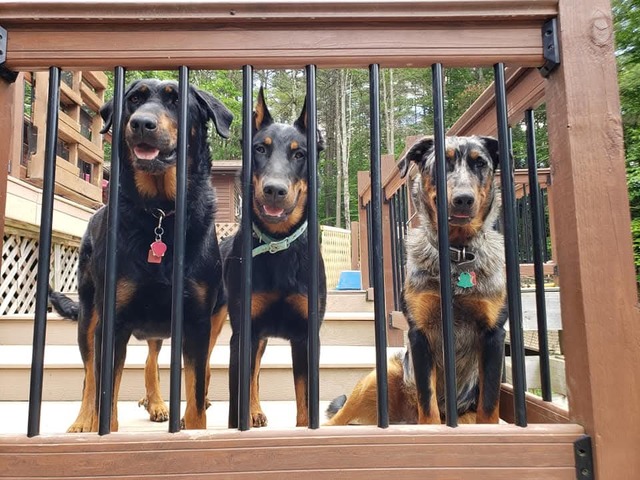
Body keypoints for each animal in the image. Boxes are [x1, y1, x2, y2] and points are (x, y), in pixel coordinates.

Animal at [49, 79, 233, 432]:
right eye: (134, 99)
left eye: (176, 101)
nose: (141, 124)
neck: (160, 213)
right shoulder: (112, 323)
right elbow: (105, 396)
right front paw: (97, 424)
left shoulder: (197, 321)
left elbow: (195, 395)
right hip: (89, 314)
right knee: (89, 374)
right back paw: (82, 420)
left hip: (211, 317)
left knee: (157, 359)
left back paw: (158, 403)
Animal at [223, 87, 327, 428]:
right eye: (260, 148)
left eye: (299, 154)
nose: (274, 190)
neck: (278, 244)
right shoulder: (243, 334)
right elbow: (237, 402)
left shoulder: (307, 337)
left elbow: (306, 403)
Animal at [325, 135, 507, 425]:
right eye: (441, 162)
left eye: (480, 163)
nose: (463, 199)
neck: (456, 254)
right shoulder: (420, 334)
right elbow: (427, 401)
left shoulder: (493, 335)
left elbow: (489, 405)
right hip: (378, 377)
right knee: (337, 418)